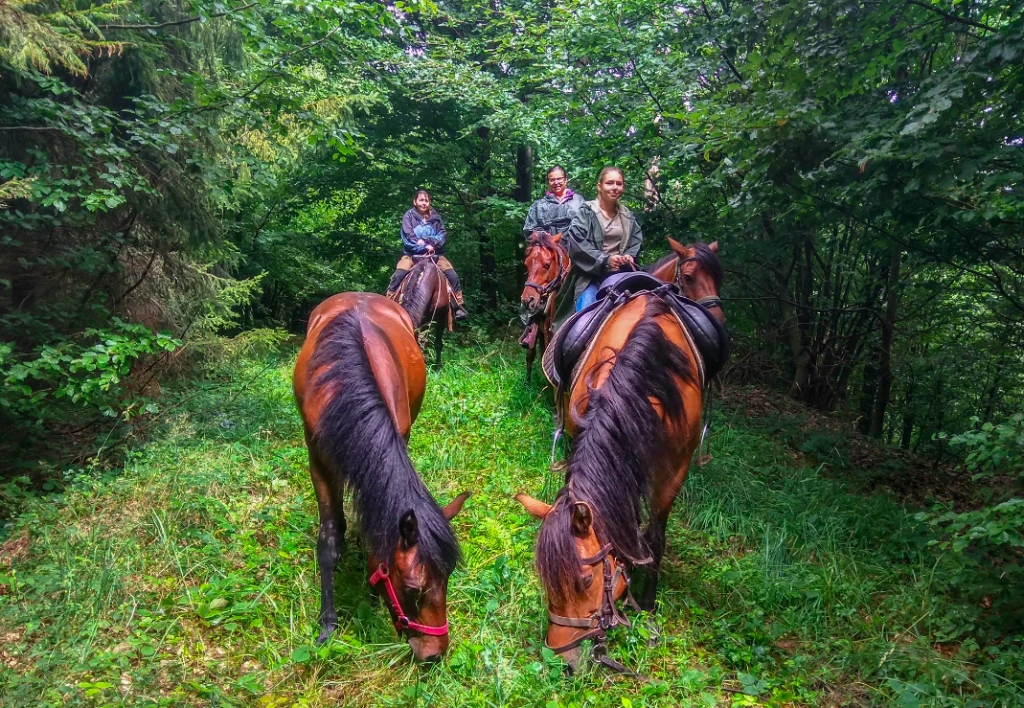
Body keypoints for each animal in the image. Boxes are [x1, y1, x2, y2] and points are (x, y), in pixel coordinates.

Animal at [294, 290, 468, 663]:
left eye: (449, 576)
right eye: (413, 589)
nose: (435, 653)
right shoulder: (319, 463)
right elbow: (329, 539)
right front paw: (327, 623)